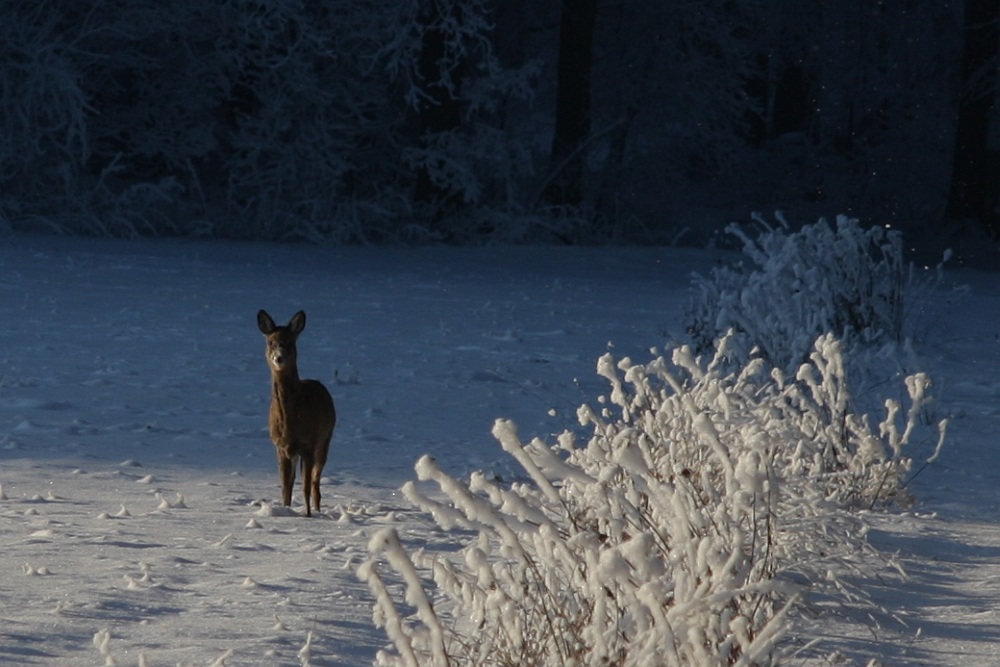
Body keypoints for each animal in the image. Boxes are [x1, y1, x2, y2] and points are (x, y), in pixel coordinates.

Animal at [258, 310, 336, 520]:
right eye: (270, 342)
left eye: (290, 342)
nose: (279, 358)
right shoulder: (280, 447)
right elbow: (286, 487)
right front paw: (287, 510)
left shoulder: (308, 444)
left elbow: (305, 487)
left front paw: (307, 516)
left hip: (325, 440)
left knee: (315, 483)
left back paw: (317, 510)